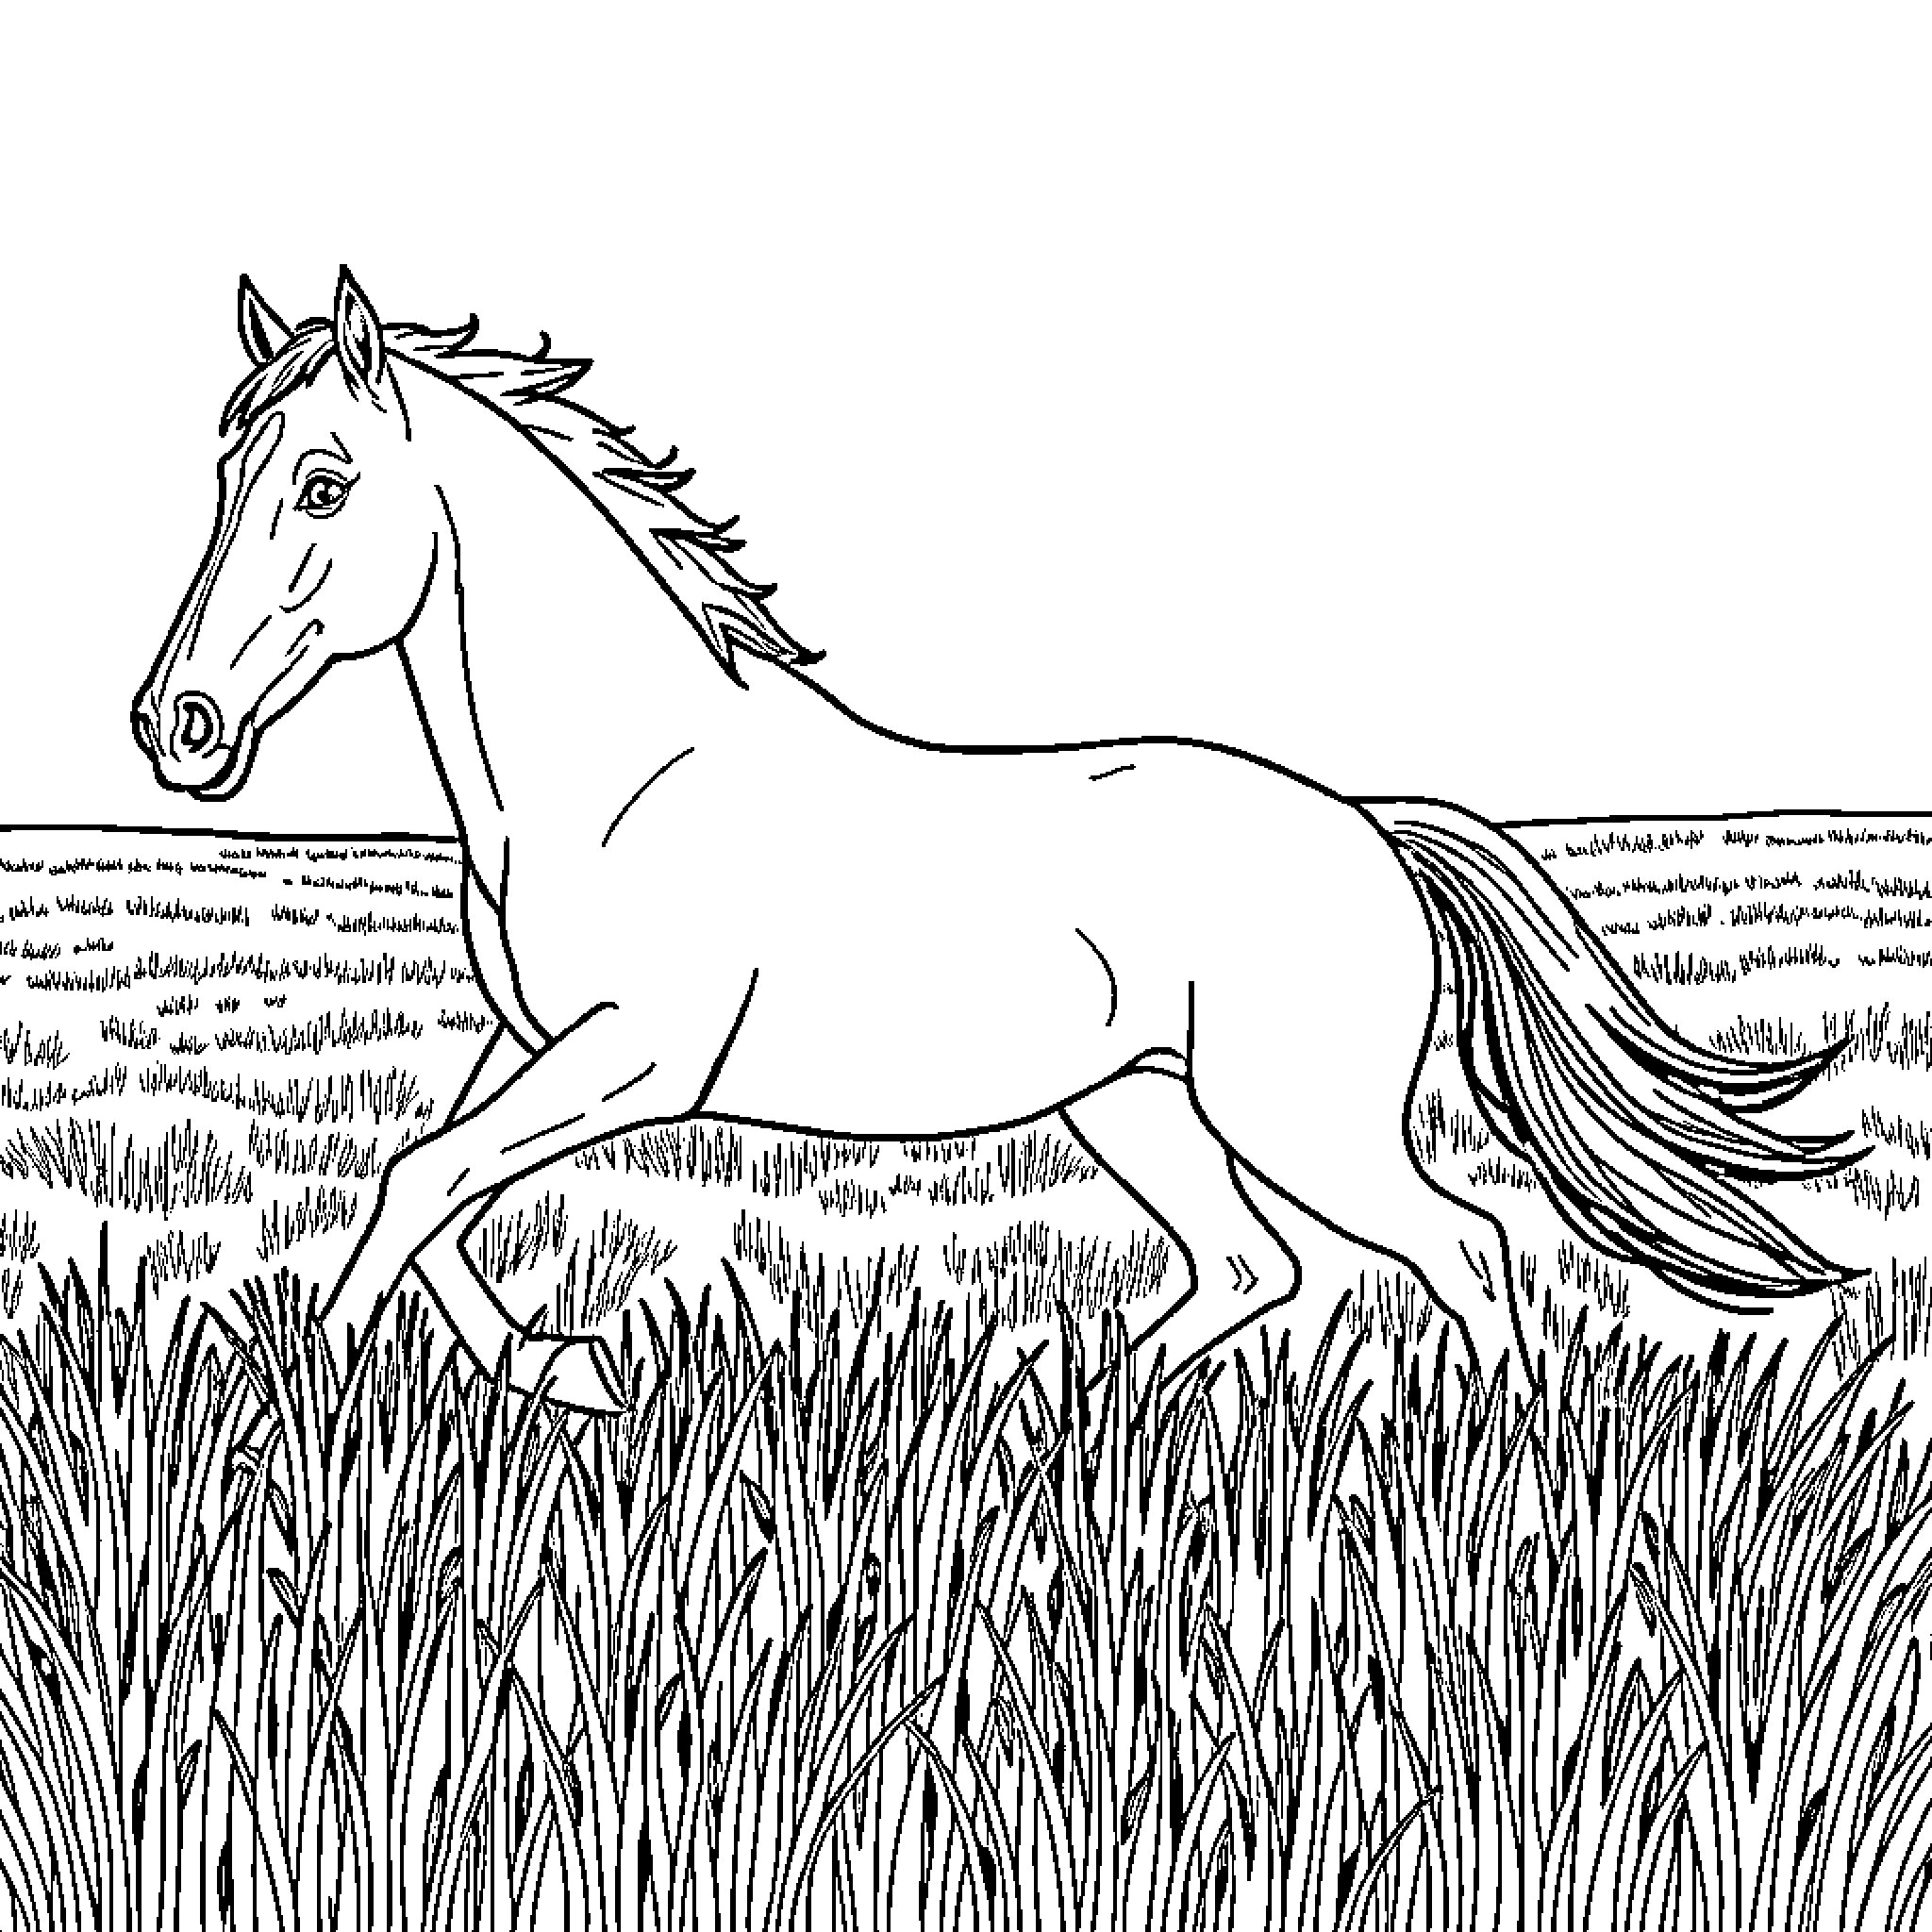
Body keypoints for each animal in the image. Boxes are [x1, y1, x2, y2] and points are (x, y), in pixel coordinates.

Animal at [132, 267, 1863, 1413]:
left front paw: (311, 1415)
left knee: (1463, 1244)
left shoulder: (643, 1055)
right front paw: (561, 1371)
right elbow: (423, 1181)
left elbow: (421, 1180)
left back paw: (1508, 1479)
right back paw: (1063, 1432)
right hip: (1136, 1106)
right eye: (220, 473)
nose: (178, 727)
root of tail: (1372, 835)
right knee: (1254, 1271)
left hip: (1295, 1116)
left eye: (323, 483)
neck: (617, 776)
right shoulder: (531, 1040)